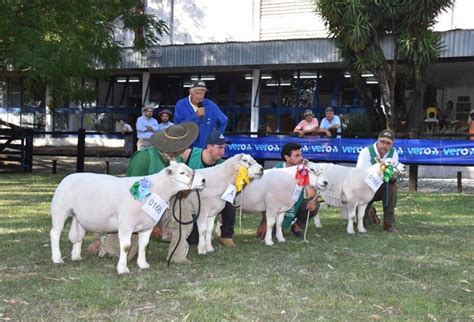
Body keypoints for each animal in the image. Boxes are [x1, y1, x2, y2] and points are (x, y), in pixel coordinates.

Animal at [50, 161, 206, 274]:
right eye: (182, 173)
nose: (203, 180)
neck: (157, 190)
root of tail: (67, 178)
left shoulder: (147, 226)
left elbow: (144, 246)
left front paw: (143, 264)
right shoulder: (126, 224)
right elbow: (125, 247)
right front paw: (123, 269)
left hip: (78, 217)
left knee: (79, 235)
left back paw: (76, 256)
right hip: (60, 211)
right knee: (55, 234)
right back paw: (57, 258)